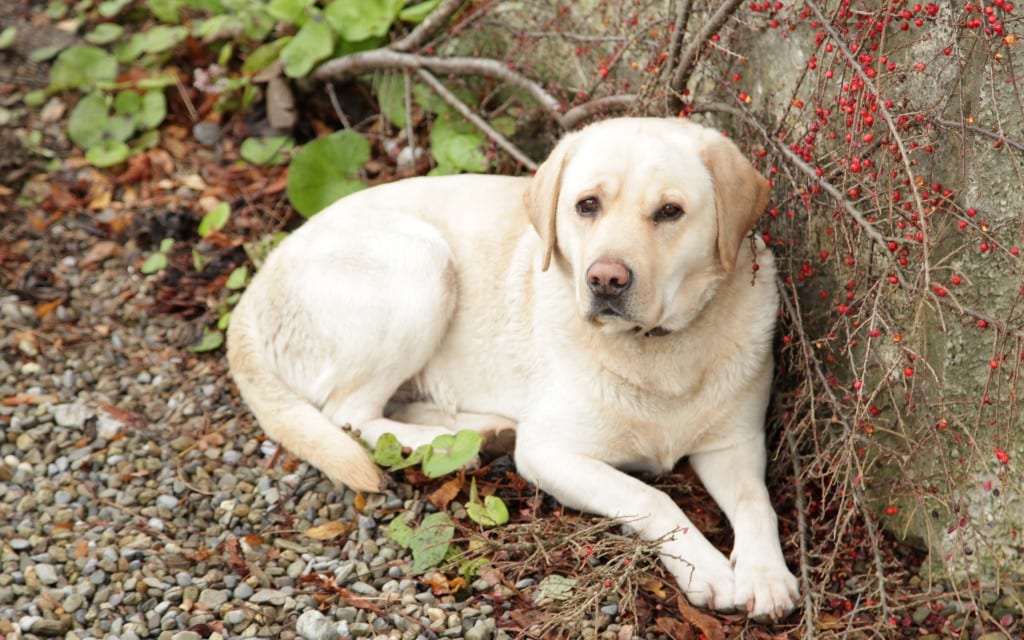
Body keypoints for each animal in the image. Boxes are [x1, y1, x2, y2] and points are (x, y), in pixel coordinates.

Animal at [230, 116, 798, 618]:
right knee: (349, 415)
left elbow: (757, 504)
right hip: (422, 264)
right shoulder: (550, 454)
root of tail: (253, 291)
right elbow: (652, 496)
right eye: (586, 206)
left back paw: (480, 430)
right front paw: (708, 569)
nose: (605, 280)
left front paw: (766, 575)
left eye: (669, 211)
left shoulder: (735, 445)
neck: (655, 351)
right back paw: (439, 441)